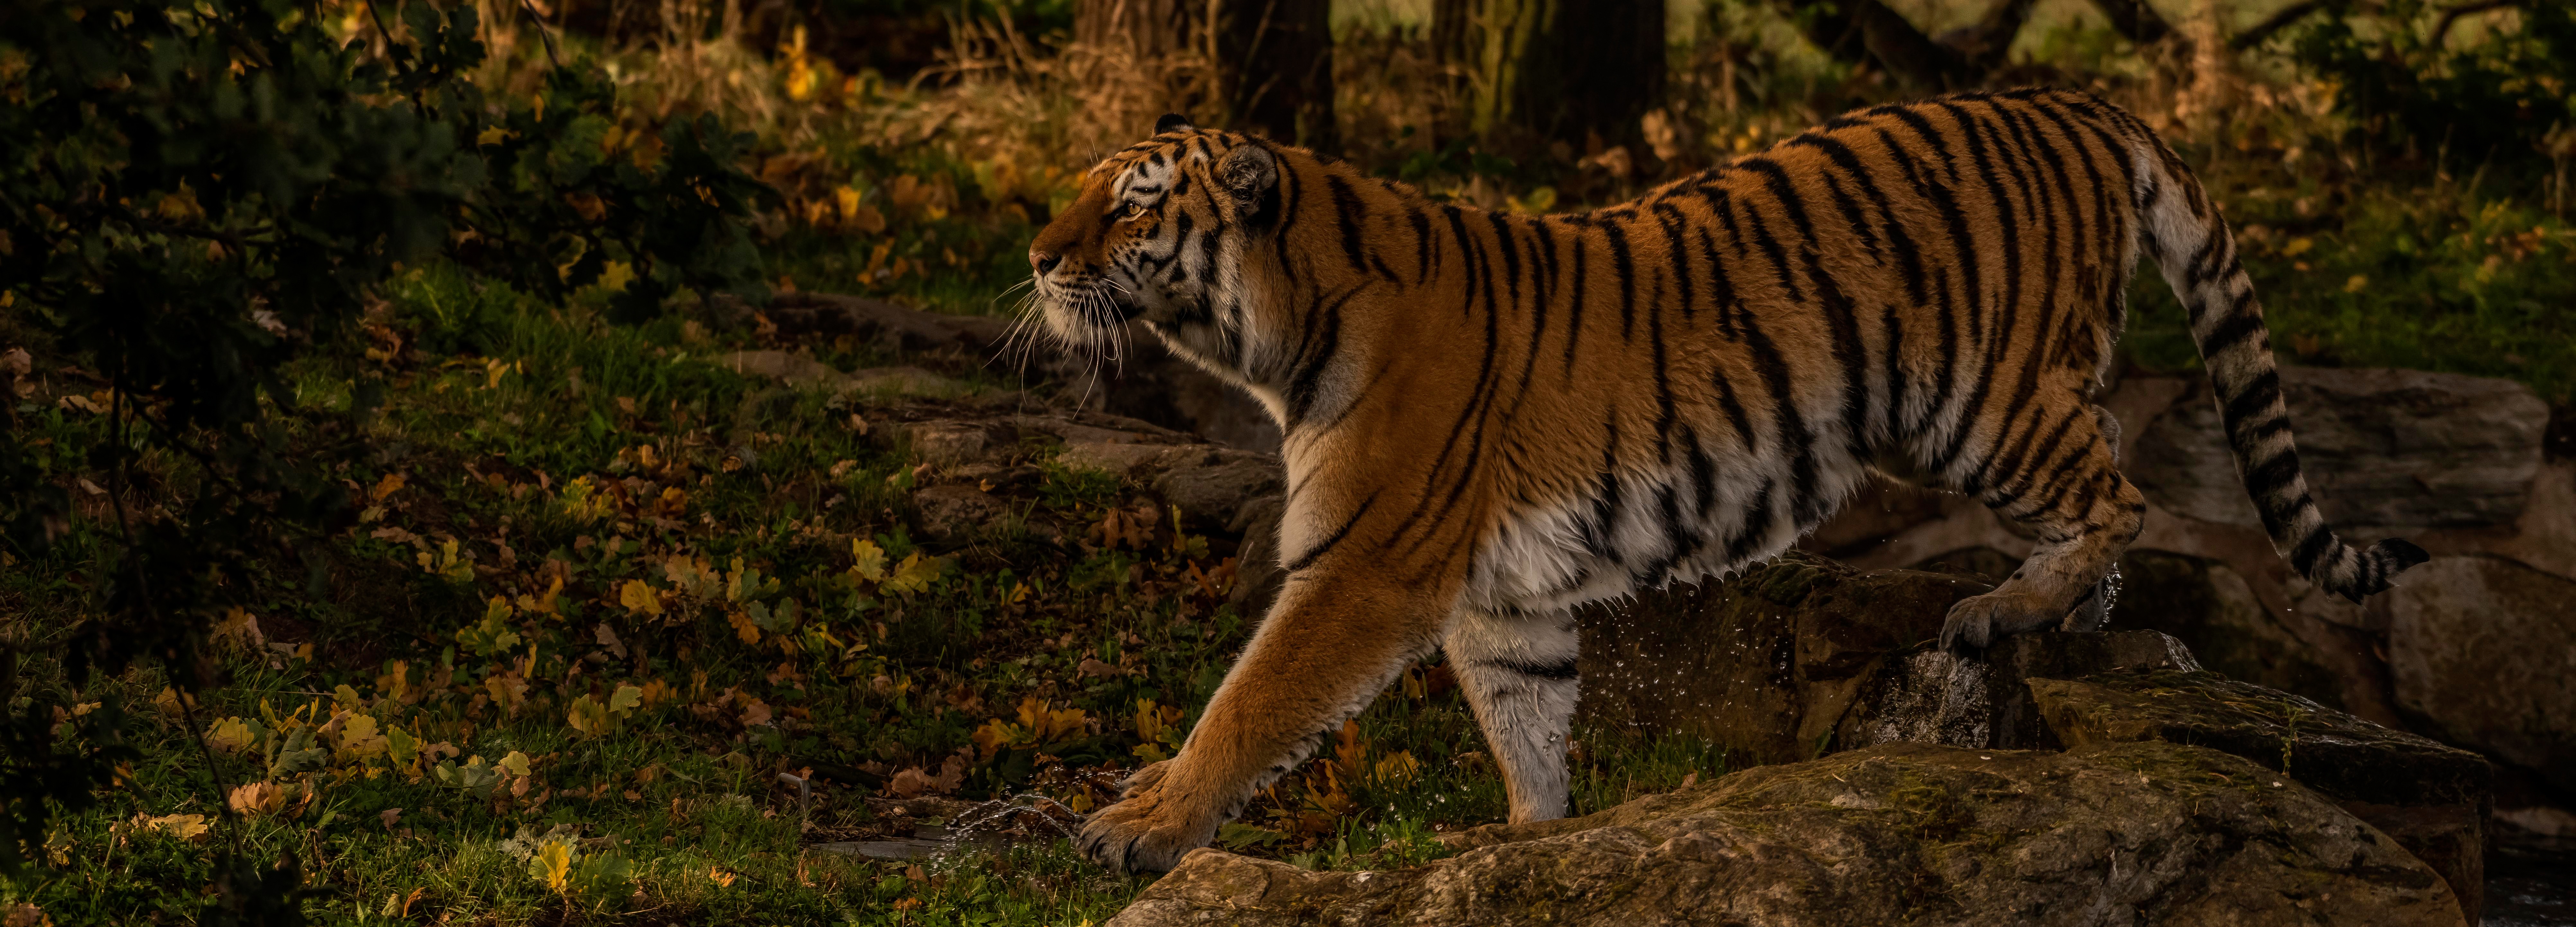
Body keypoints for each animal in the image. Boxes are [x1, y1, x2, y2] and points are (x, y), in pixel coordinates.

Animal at [1015, 85, 2421, 870]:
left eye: (1132, 205)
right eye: (1080, 188)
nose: (1035, 256)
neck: (1276, 328)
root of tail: (2081, 104)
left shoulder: (1369, 565)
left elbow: (1249, 702)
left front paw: (1143, 823)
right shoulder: (1498, 597)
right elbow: (1527, 721)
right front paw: (1534, 845)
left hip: (1980, 400)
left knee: (2116, 491)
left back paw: (2002, 611)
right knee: (2115, 487)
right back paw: (2069, 614)